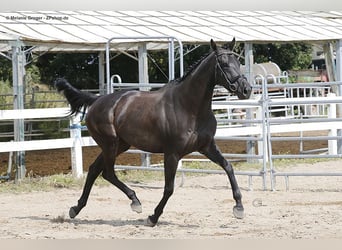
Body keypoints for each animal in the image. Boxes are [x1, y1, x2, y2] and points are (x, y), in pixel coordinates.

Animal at [55, 38, 251, 227]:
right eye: (224, 64)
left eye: (238, 62)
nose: (246, 89)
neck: (189, 107)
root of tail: (96, 100)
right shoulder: (172, 153)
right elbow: (169, 188)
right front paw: (153, 217)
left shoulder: (207, 147)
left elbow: (228, 167)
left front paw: (239, 208)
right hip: (110, 144)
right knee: (107, 172)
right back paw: (135, 202)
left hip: (120, 145)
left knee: (95, 169)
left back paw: (76, 208)